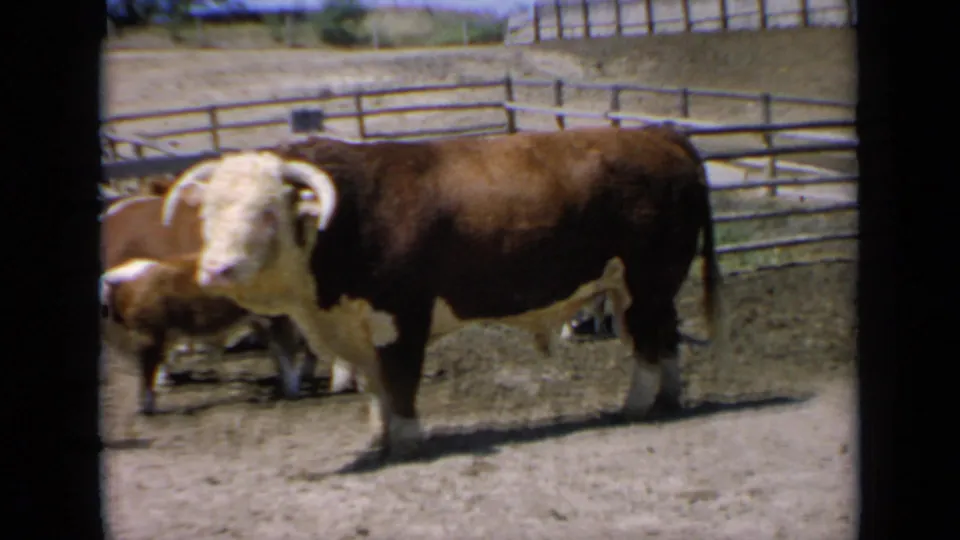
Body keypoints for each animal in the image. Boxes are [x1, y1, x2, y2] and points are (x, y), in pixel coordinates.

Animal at [159, 125, 728, 458]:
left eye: (266, 211)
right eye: (208, 213)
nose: (217, 269)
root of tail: (657, 133)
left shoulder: (402, 318)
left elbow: (400, 380)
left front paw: (408, 439)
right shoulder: (356, 328)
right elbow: (375, 386)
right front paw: (378, 435)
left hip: (646, 279)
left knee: (649, 344)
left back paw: (635, 405)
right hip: (645, 287)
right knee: (665, 338)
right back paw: (668, 399)